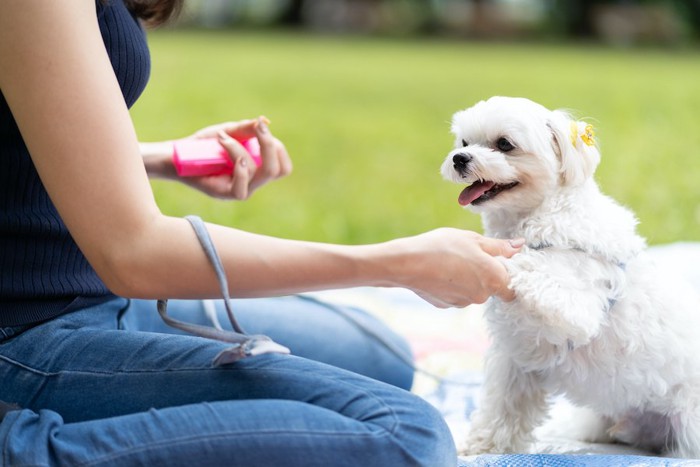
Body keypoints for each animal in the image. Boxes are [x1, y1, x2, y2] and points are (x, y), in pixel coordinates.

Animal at [440, 97, 700, 458]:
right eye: (464, 142)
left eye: (504, 144)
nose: (460, 158)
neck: (540, 215)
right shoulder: (517, 356)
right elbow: (502, 410)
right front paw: (481, 448)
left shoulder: (575, 308)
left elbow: (532, 270)